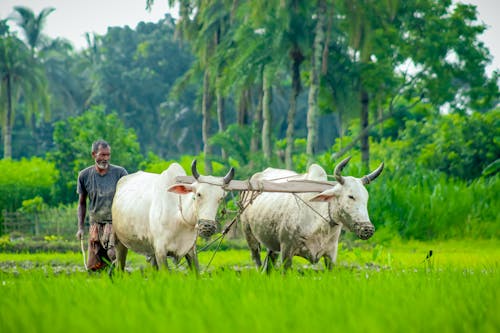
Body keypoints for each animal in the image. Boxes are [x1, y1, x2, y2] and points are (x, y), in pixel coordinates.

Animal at [240, 157, 384, 272]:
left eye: (366, 197)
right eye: (351, 196)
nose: (367, 229)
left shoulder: (331, 254)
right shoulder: (287, 250)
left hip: (272, 245)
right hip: (249, 236)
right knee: (257, 261)